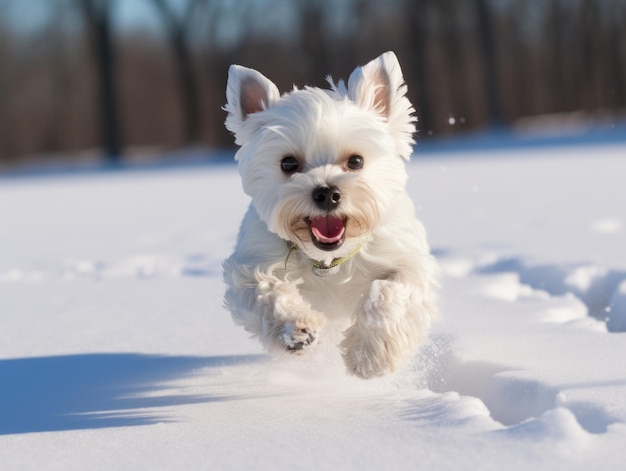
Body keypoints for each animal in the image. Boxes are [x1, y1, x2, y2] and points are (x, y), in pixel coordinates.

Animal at [222, 51, 436, 380]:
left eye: (356, 161)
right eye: (288, 163)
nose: (326, 193)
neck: (328, 262)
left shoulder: (407, 261)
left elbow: (389, 293)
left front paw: (370, 354)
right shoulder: (249, 265)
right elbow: (266, 290)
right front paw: (297, 329)